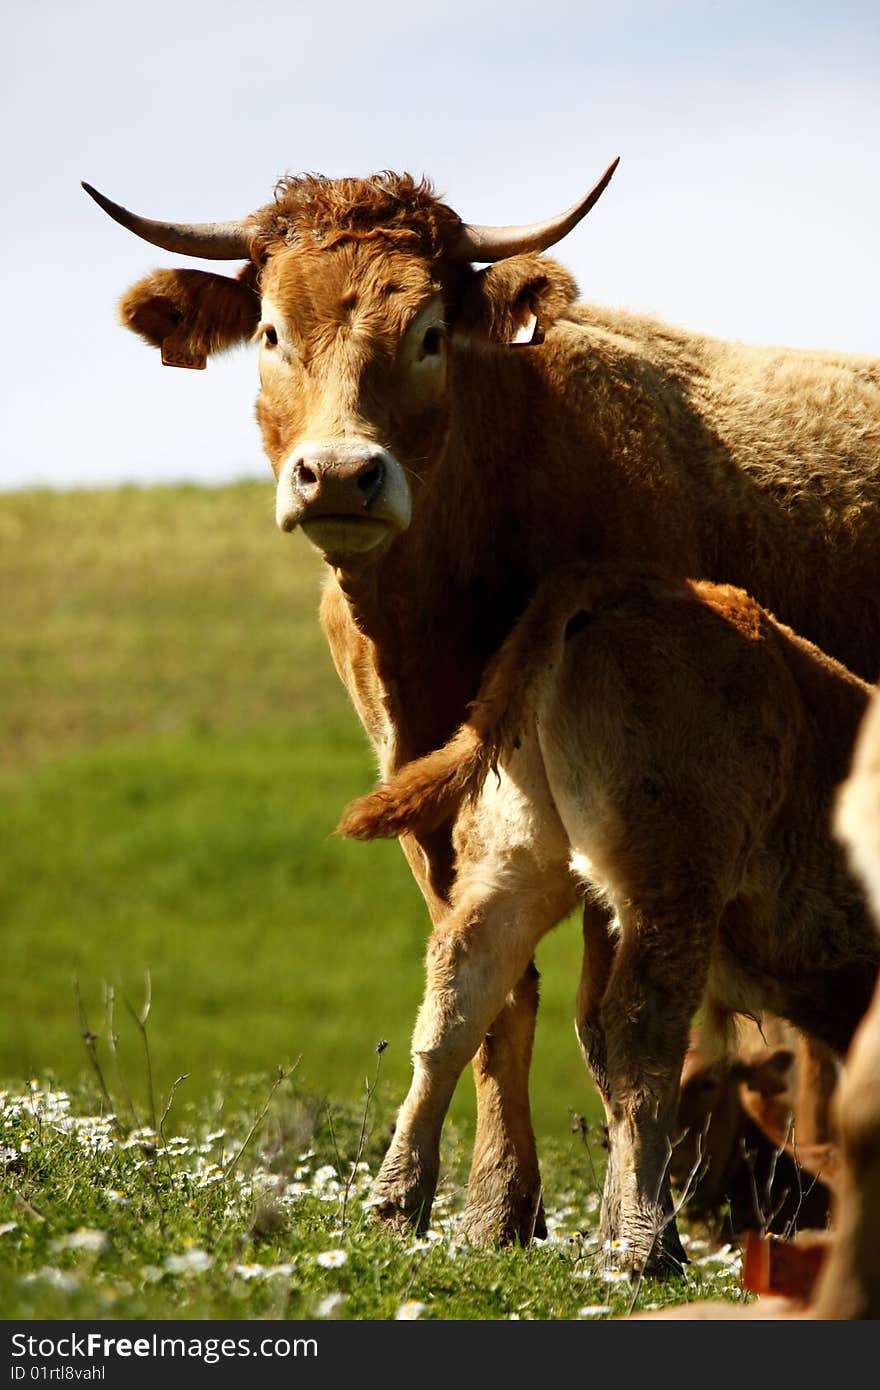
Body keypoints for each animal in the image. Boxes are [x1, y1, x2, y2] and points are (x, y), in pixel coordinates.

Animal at [337, 561, 878, 1273]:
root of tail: (609, 584)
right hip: (669, 892)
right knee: (639, 1032)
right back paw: (645, 1246)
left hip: (516, 869)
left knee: (461, 1000)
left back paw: (398, 1209)